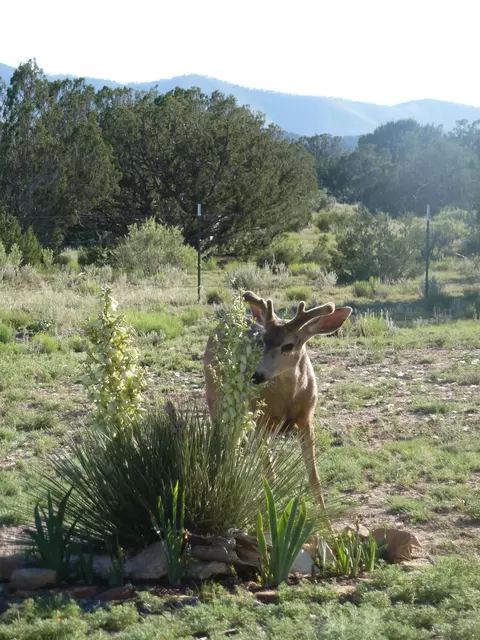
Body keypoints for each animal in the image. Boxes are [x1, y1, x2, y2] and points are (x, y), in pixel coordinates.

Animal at [203, 291, 352, 509]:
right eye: (262, 340)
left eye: (288, 345)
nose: (256, 375)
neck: (289, 398)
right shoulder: (260, 419)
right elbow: (270, 475)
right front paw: (270, 507)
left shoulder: (306, 419)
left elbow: (314, 478)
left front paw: (325, 517)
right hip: (215, 392)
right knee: (224, 436)